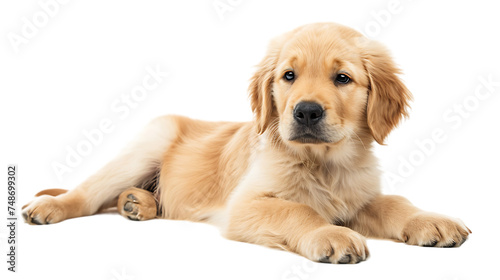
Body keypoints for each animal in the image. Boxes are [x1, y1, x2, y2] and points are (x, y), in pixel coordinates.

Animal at [22, 23, 468, 264]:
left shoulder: (358, 197)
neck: (323, 162)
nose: (307, 112)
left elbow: (395, 203)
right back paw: (50, 207)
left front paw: (430, 221)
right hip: (148, 143)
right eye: (289, 76)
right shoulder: (246, 205)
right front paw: (331, 235)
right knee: (87, 194)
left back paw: (138, 203)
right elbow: (298, 210)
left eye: (342, 78)